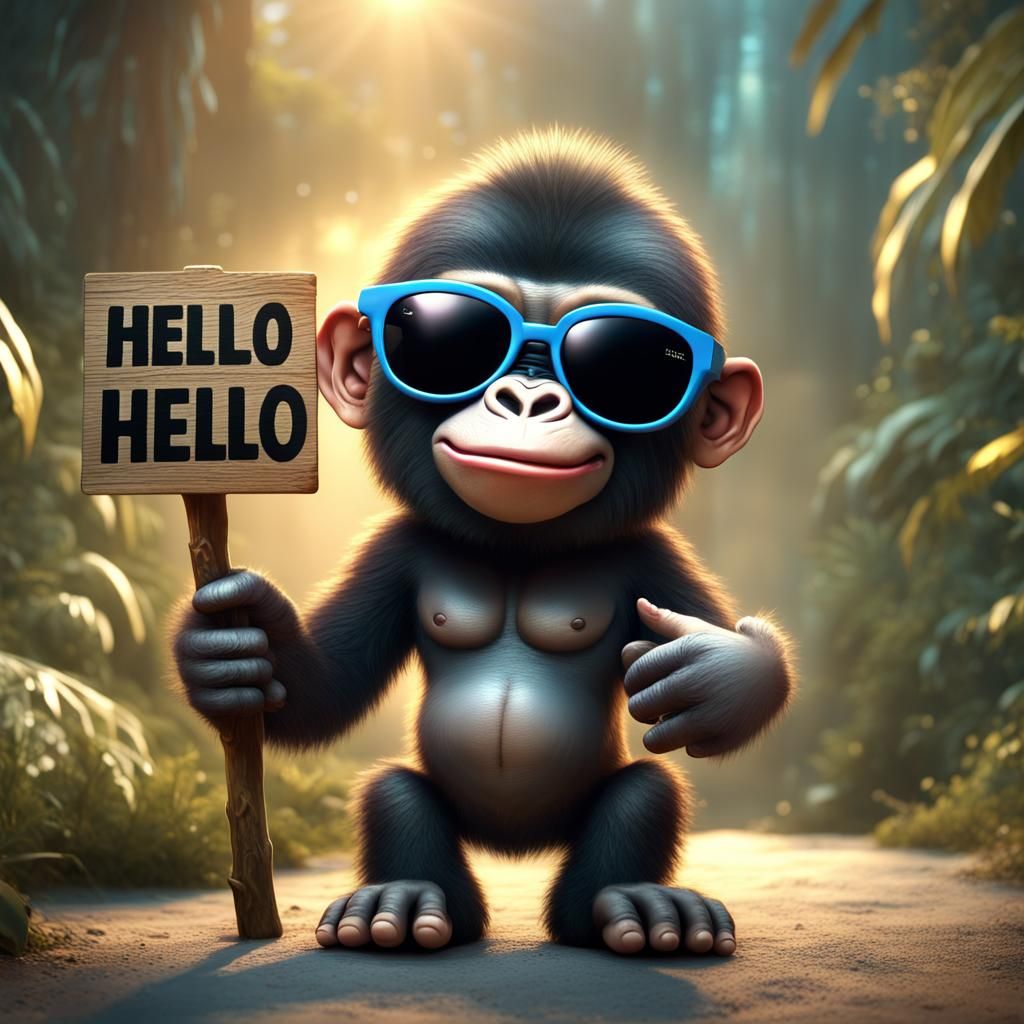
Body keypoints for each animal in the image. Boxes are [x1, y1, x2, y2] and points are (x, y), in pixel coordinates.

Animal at [173, 128, 795, 957]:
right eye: (451, 336)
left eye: (628, 359)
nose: (527, 397)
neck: (517, 546)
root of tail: (515, 846)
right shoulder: (395, 549)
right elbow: (324, 692)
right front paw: (233, 647)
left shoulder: (650, 556)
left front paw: (720, 669)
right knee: (393, 793)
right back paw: (406, 904)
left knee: (646, 794)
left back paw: (630, 908)